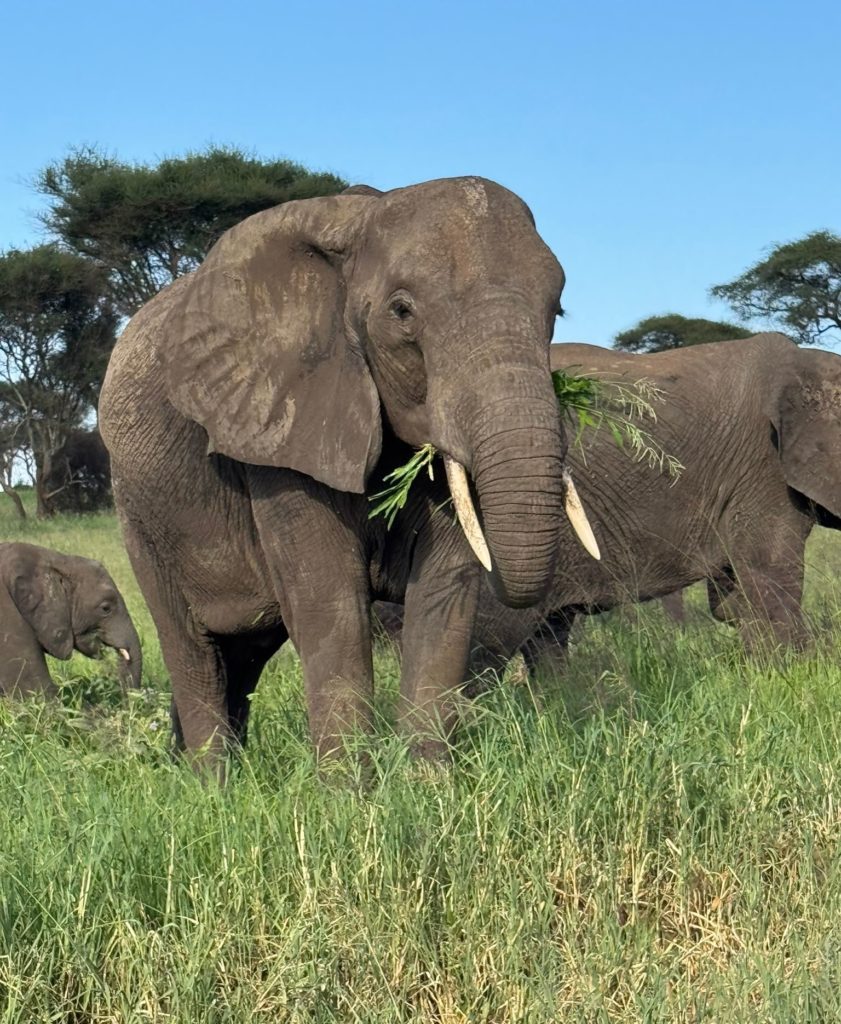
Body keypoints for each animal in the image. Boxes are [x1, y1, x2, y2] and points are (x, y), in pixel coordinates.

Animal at [99, 176, 596, 766]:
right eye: (402, 311)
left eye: (557, 310)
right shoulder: (278, 429)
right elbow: (331, 603)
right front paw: (351, 789)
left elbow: (444, 596)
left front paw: (428, 784)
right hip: (138, 515)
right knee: (192, 652)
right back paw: (210, 782)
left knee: (241, 655)